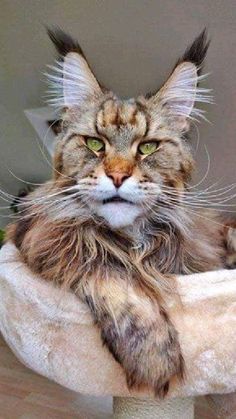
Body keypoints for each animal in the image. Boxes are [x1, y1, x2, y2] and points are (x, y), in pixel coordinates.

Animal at [6, 28, 235, 398]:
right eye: (95, 144)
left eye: (148, 147)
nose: (117, 175)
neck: (132, 240)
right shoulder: (43, 234)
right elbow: (112, 273)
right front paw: (154, 362)